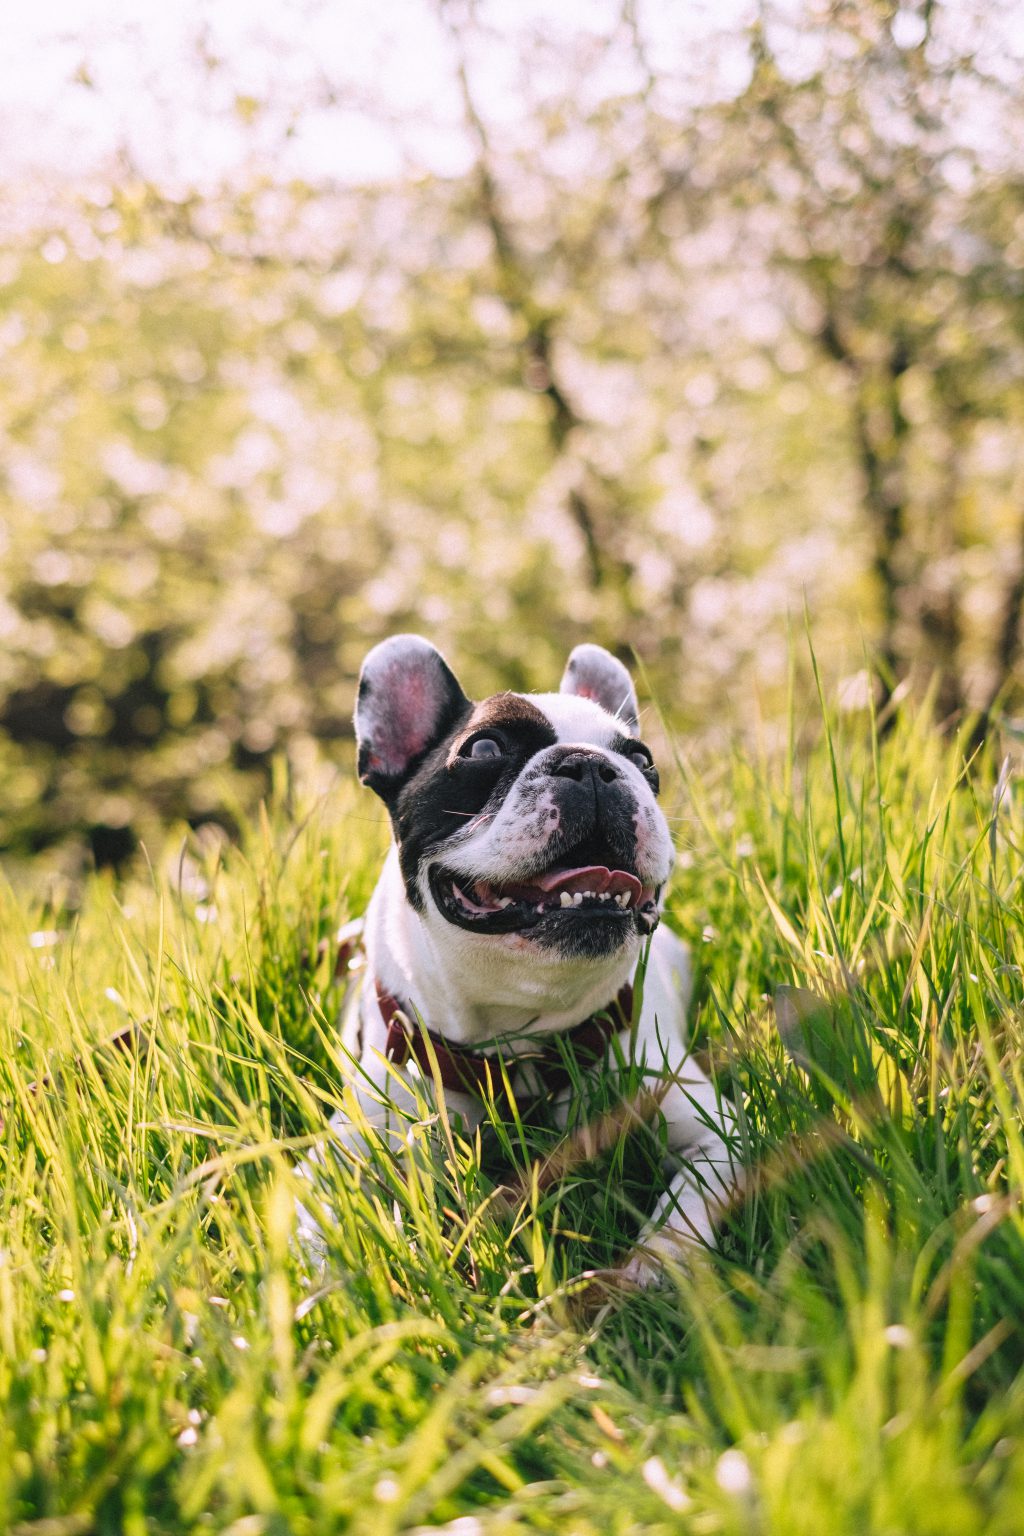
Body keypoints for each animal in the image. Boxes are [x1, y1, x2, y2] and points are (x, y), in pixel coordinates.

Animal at [300, 635, 739, 1284]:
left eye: (643, 759)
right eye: (484, 748)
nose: (591, 765)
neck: (519, 1037)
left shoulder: (715, 1136)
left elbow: (687, 1209)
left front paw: (648, 1270)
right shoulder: (335, 1159)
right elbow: (309, 1239)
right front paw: (323, 1298)